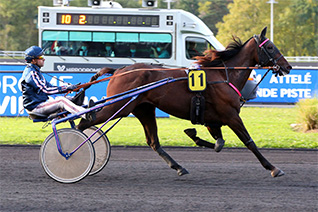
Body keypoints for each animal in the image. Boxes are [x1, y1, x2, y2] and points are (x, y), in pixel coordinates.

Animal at [78, 27, 292, 177]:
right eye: (270, 47)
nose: (287, 66)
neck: (224, 75)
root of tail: (118, 71)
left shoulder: (212, 118)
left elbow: (219, 143)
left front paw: (193, 134)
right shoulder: (231, 116)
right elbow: (249, 142)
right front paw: (273, 168)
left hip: (143, 109)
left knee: (153, 142)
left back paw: (179, 167)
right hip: (117, 106)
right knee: (84, 121)